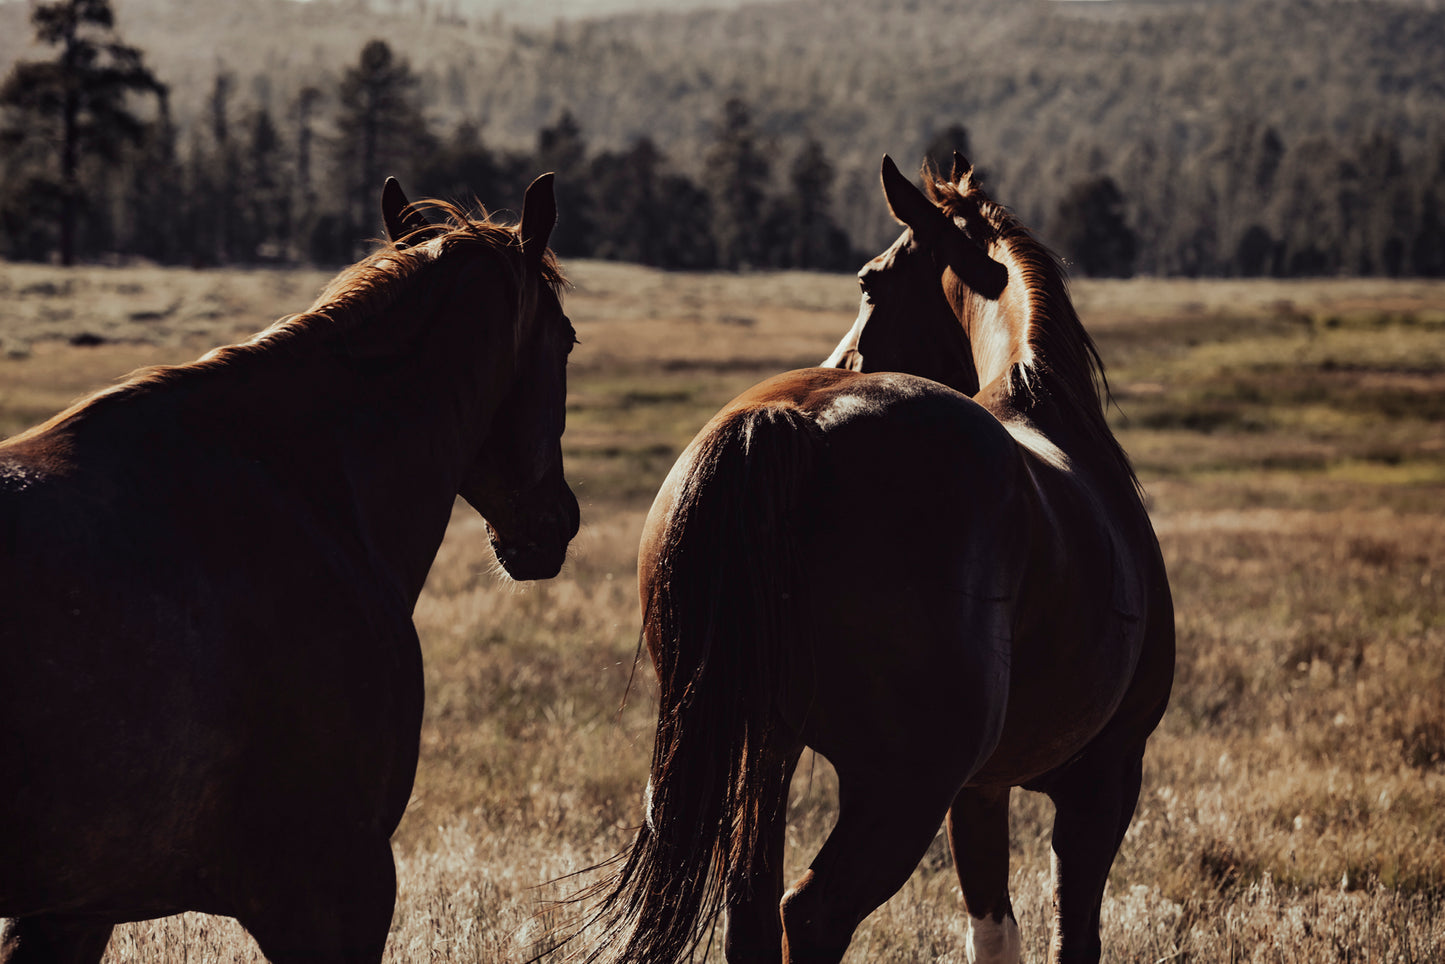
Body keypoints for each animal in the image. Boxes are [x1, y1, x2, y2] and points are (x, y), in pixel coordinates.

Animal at [589, 155, 1173, 964]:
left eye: (870, 283)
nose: (840, 360)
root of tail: (790, 422)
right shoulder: (1103, 780)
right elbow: (1069, 939)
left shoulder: (980, 791)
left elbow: (993, 931)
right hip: (900, 788)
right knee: (810, 912)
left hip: (766, 750)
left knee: (750, 903)